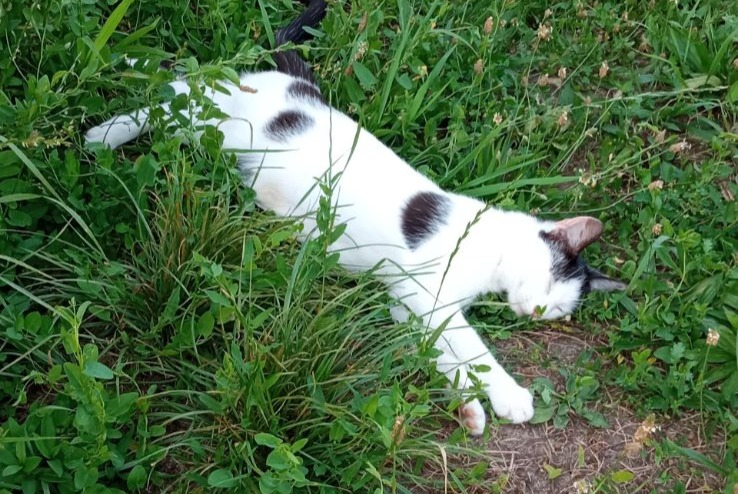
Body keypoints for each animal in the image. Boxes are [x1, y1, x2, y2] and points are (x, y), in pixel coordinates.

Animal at [86, 0, 628, 434]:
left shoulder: (408, 301)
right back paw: (110, 109)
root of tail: (294, 79)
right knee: (177, 85)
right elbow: (471, 347)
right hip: (207, 113)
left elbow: (439, 351)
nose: (537, 312)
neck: (488, 245)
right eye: (551, 280)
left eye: (560, 310)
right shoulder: (430, 293)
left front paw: (469, 408)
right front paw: (508, 396)